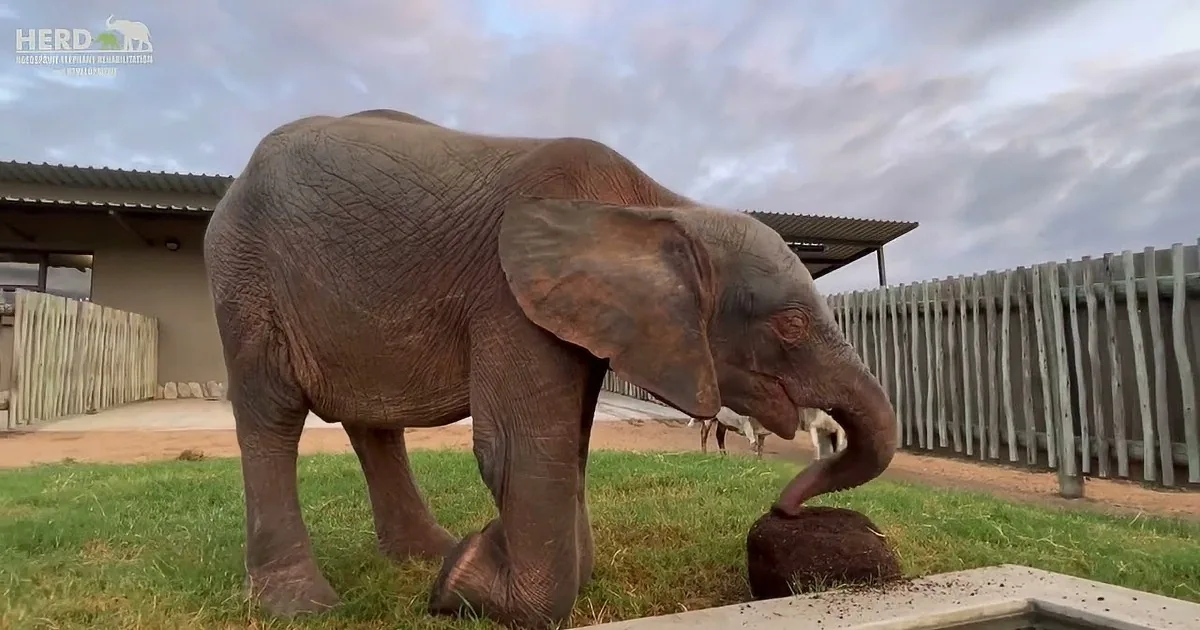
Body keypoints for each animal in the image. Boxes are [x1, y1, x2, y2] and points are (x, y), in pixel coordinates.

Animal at [203, 108, 898, 629]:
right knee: (272, 415)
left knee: (371, 423)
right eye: (790, 326)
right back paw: (302, 606)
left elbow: (570, 452)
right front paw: (463, 581)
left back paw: (421, 556)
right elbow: (521, 451)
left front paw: (469, 560)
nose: (786, 510)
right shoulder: (507, 293)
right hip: (245, 275)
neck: (658, 208)